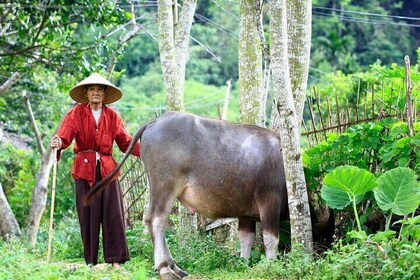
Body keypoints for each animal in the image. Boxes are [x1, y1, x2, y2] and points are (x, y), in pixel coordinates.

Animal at [84, 111, 334, 280]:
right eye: (321, 235)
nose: (322, 254)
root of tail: (153, 123)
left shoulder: (246, 214)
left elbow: (246, 238)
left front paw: (243, 263)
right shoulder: (269, 201)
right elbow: (270, 237)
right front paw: (271, 264)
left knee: (152, 221)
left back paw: (176, 267)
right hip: (166, 185)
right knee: (157, 220)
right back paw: (165, 268)